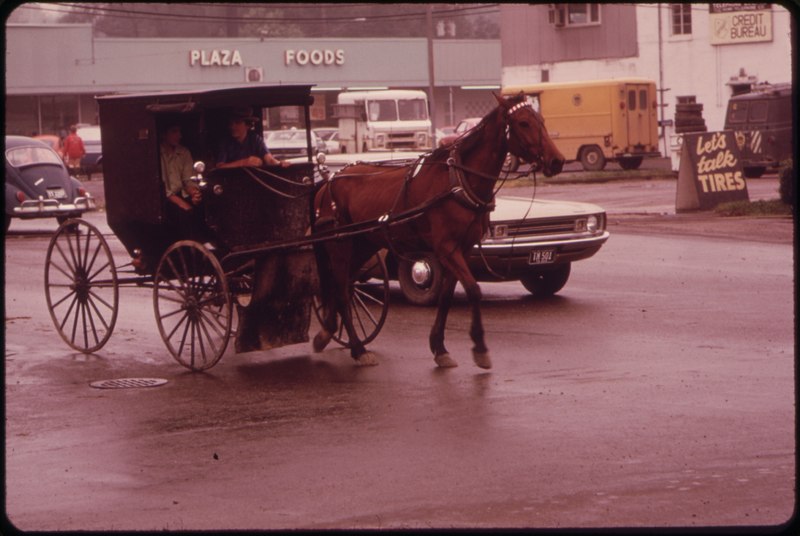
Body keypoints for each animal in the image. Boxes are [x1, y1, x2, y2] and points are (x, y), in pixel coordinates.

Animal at [310, 93, 564, 368]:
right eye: (523, 123)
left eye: (541, 120)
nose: (557, 161)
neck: (458, 181)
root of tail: (328, 181)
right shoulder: (447, 249)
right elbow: (473, 290)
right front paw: (480, 347)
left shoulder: (462, 249)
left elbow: (446, 296)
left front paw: (440, 347)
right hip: (340, 246)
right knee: (341, 290)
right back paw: (357, 348)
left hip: (363, 244)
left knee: (344, 286)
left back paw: (327, 332)